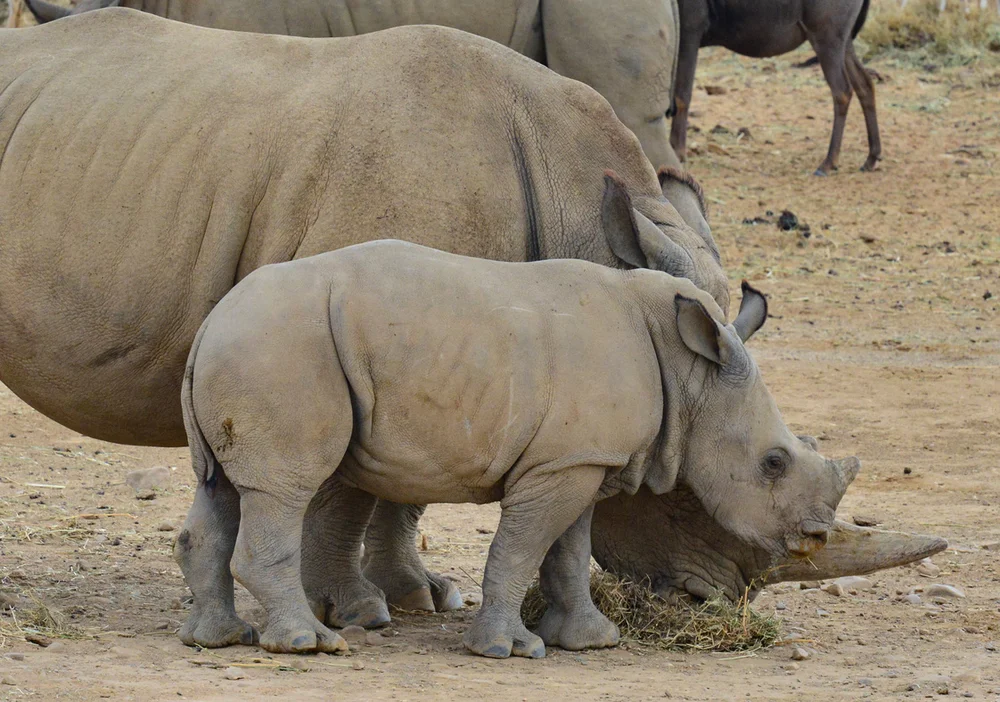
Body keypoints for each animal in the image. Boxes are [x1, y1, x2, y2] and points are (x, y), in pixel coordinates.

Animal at [178, 239, 861, 657]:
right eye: (773, 463)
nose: (815, 535)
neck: (693, 374)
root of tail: (210, 321)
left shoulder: (581, 459)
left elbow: (568, 552)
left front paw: (591, 640)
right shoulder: (560, 465)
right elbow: (522, 547)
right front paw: (508, 650)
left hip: (254, 344)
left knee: (223, 485)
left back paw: (218, 639)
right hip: (280, 347)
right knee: (281, 488)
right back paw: (308, 644)